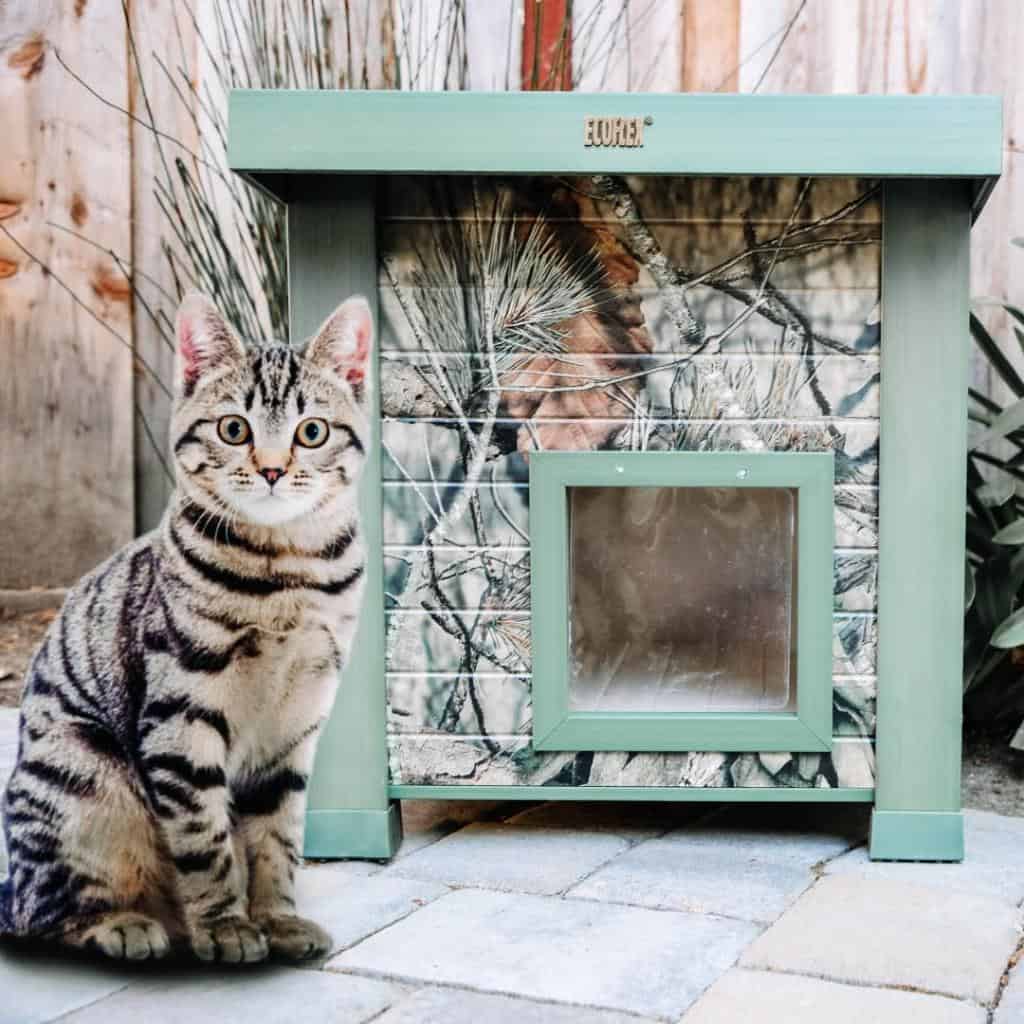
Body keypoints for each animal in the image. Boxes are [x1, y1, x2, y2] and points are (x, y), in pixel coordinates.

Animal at [0, 290, 372, 958]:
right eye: (233, 428)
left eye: (312, 432)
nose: (272, 470)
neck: (288, 573)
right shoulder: (182, 713)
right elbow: (205, 839)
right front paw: (226, 927)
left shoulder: (298, 721)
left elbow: (277, 838)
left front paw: (276, 920)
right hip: (83, 779)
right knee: (46, 914)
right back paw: (127, 926)